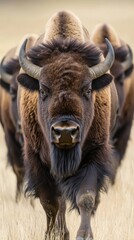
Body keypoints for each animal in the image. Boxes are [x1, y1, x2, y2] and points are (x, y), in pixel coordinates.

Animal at [17, 11, 116, 240]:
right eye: (43, 90)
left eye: (87, 89)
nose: (64, 132)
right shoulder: (37, 159)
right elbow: (51, 202)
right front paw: (55, 234)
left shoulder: (94, 154)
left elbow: (86, 197)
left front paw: (84, 235)